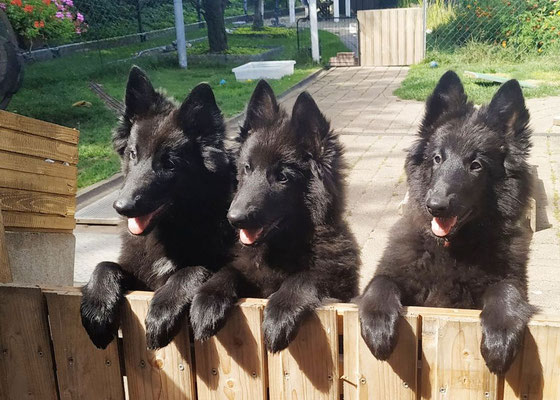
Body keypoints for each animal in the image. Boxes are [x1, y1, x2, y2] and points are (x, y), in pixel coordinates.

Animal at [80, 66, 234, 350]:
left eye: (170, 164)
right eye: (132, 154)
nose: (121, 207)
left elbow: (193, 269)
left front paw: (161, 312)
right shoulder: (138, 274)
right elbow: (104, 265)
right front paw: (96, 309)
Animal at [190, 79, 360, 352]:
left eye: (282, 177)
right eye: (247, 168)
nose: (234, 218)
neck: (279, 248)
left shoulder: (333, 282)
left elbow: (305, 277)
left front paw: (279, 313)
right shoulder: (245, 268)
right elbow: (228, 271)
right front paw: (206, 302)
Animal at [358, 71, 540, 376]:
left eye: (476, 165)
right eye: (437, 158)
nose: (435, 205)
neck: (450, 248)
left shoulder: (512, 281)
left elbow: (506, 289)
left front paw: (500, 336)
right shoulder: (394, 273)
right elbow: (379, 283)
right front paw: (378, 325)